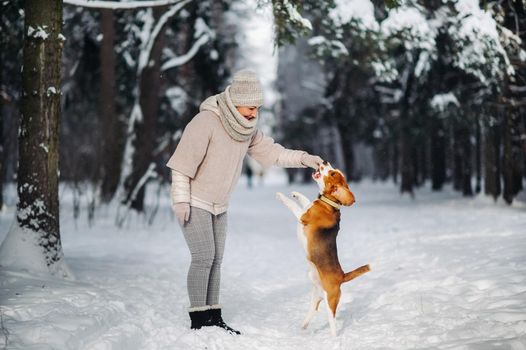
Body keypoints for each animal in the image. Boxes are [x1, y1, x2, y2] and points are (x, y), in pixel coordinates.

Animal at [276, 161, 372, 336]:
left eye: (332, 173)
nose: (324, 162)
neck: (329, 202)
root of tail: (342, 276)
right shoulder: (306, 208)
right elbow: (304, 200)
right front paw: (296, 193)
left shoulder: (302, 216)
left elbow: (292, 205)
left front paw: (282, 196)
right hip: (315, 297)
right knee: (311, 312)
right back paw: (302, 328)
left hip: (330, 301)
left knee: (332, 321)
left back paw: (333, 337)